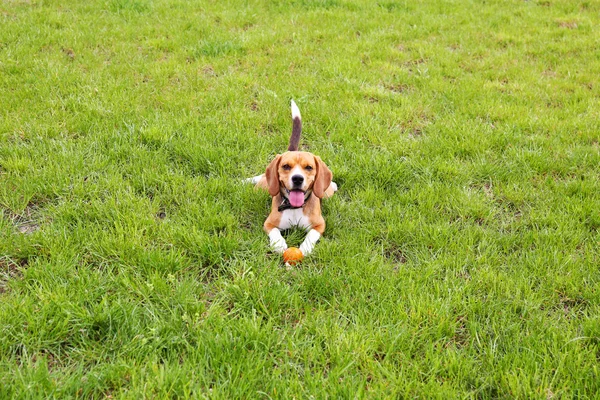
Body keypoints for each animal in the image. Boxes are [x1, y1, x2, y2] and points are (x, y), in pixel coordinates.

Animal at [246, 100, 336, 256]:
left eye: (309, 167)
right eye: (286, 166)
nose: (298, 179)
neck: (294, 208)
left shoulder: (320, 225)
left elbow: (311, 235)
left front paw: (305, 248)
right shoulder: (268, 223)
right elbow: (275, 232)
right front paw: (279, 244)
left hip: (326, 193)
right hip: (262, 188)